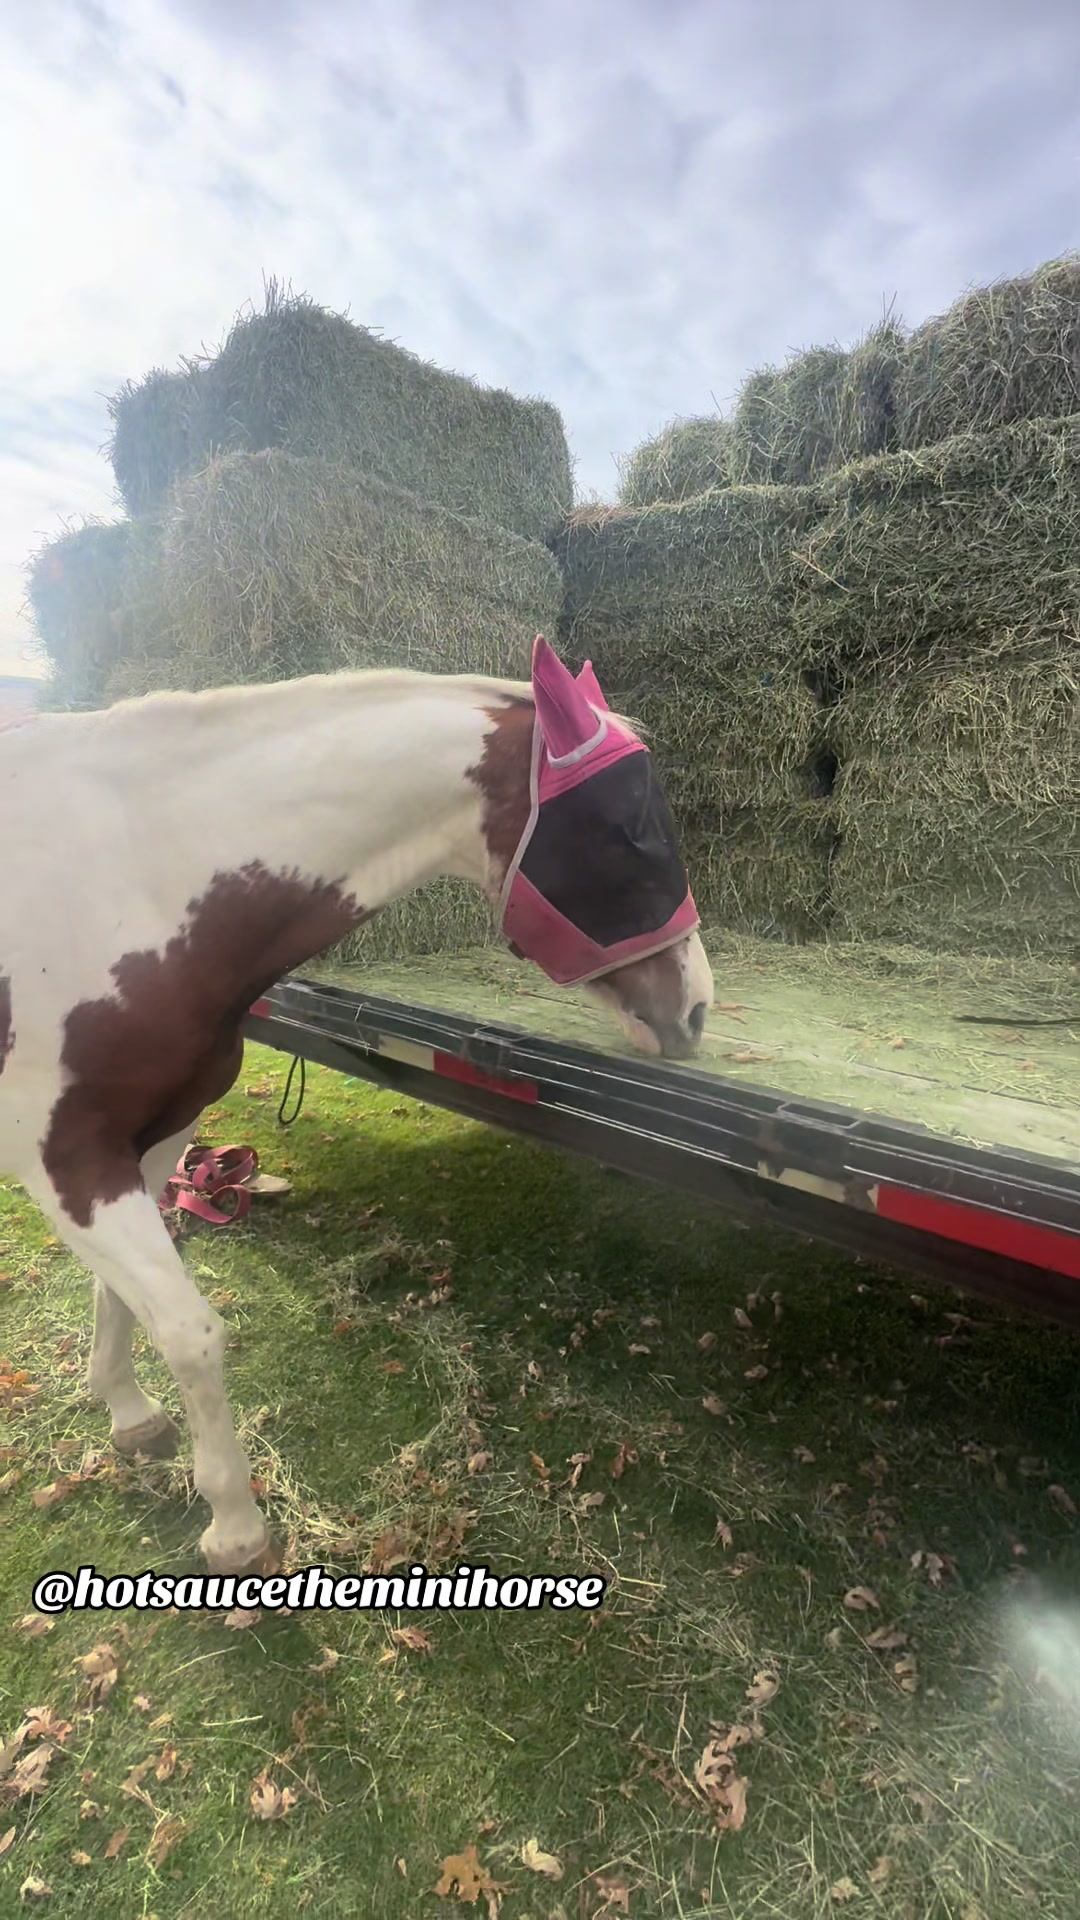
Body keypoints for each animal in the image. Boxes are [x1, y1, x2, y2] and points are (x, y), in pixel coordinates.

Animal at [0, 634, 713, 1575]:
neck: (125, 879)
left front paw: (129, 1414)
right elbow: (191, 1330)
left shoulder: (148, 1140)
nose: (695, 1009)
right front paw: (235, 1525)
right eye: (629, 826)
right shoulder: (66, 1157)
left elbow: (120, 1297)